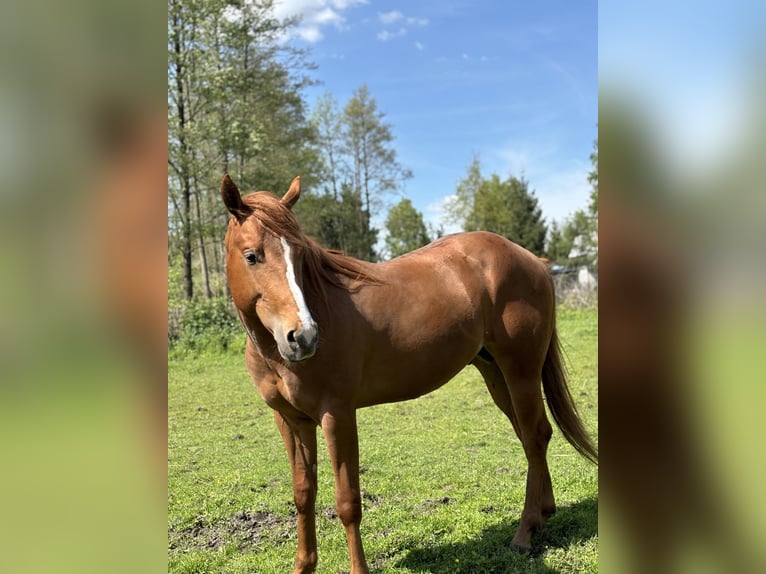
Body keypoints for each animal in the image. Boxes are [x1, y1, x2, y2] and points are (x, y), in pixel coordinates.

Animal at [219, 176, 596, 574]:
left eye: (300, 256)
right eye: (251, 256)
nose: (303, 336)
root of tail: (533, 261)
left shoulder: (337, 415)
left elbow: (347, 501)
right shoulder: (291, 420)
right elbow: (303, 494)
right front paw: (303, 566)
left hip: (520, 370)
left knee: (536, 436)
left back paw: (524, 534)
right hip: (497, 375)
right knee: (532, 436)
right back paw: (543, 514)